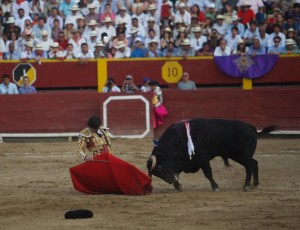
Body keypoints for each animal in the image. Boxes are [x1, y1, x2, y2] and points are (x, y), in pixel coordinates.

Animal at [146, 117, 276, 191]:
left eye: (159, 167)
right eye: (156, 174)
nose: (170, 181)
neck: (179, 139)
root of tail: (251, 127)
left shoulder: (202, 159)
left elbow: (208, 173)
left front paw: (215, 187)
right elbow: (176, 173)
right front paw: (178, 186)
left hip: (243, 155)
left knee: (249, 167)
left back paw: (246, 186)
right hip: (239, 155)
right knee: (254, 164)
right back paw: (255, 184)